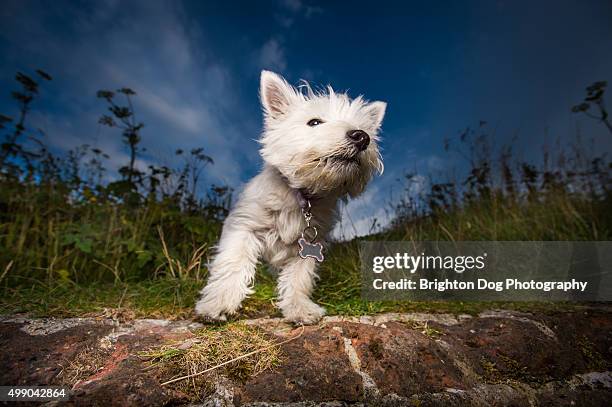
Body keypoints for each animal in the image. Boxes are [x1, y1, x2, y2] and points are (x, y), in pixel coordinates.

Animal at [195, 71, 388, 326]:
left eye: (364, 129)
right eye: (314, 122)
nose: (362, 136)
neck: (302, 196)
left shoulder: (309, 247)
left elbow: (299, 278)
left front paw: (299, 309)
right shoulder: (243, 226)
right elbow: (232, 263)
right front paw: (218, 304)